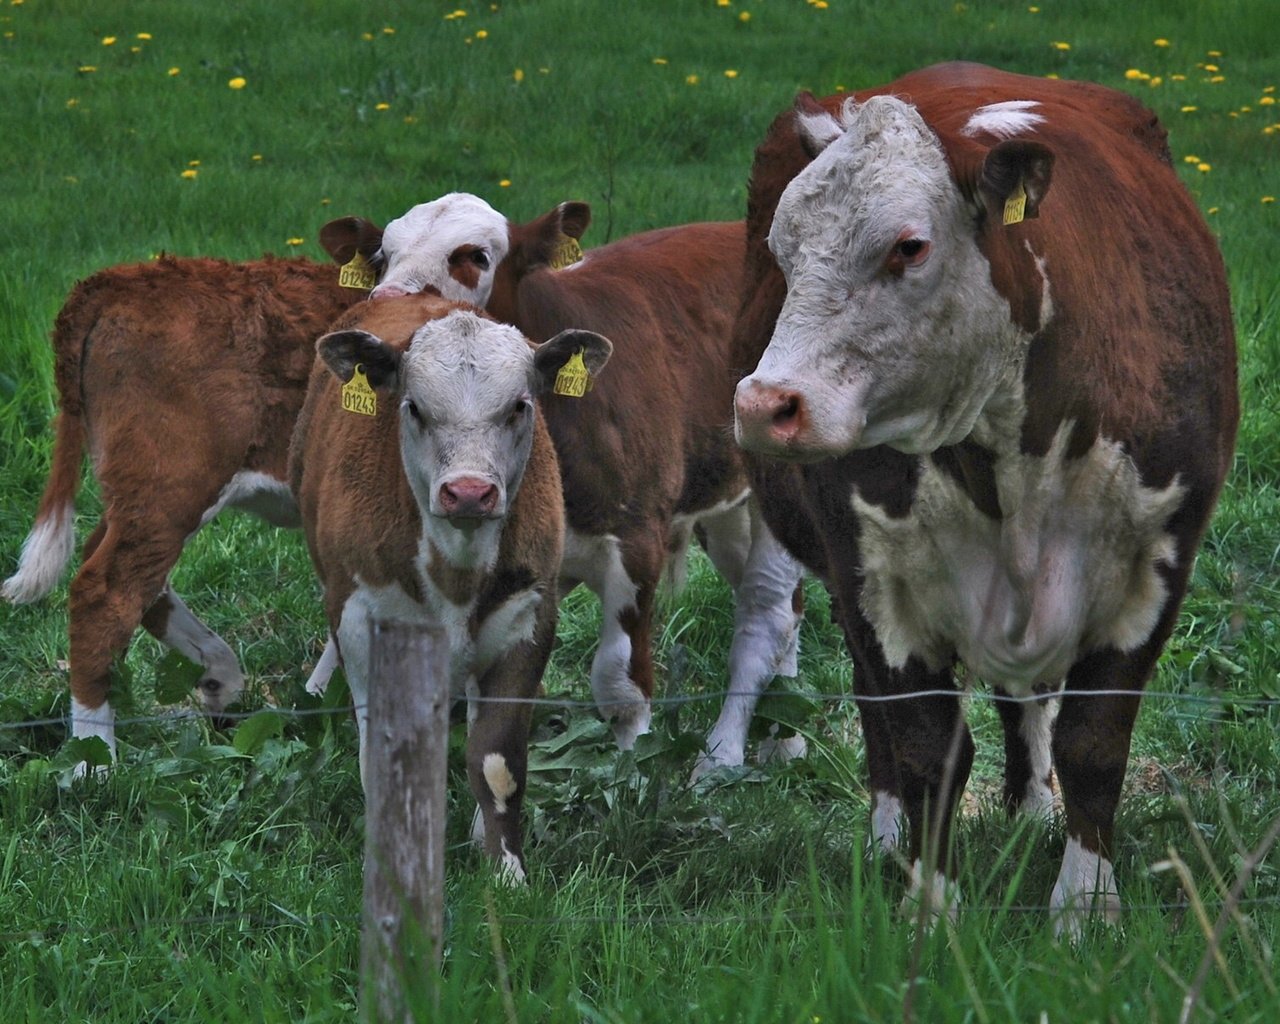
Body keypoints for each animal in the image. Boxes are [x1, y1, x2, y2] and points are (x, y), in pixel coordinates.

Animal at [290, 291, 614, 875]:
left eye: (519, 406)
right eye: (414, 407)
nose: (467, 492)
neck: (456, 570)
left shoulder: (528, 619)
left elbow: (496, 762)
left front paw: (505, 868)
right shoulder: (360, 619)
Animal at [325, 198, 814, 778]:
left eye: (474, 256)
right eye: (382, 256)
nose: (389, 302)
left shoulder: (636, 537)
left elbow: (619, 682)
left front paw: (631, 777)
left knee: (767, 615)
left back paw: (722, 756)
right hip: (724, 500)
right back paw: (786, 735)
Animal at [732, 57, 1239, 936]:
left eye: (909, 246)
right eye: (781, 248)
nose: (767, 404)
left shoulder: (1156, 563)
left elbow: (1093, 743)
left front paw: (1086, 905)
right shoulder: (874, 575)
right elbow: (926, 745)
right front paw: (930, 906)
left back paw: (1032, 809)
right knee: (879, 712)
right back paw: (886, 836)